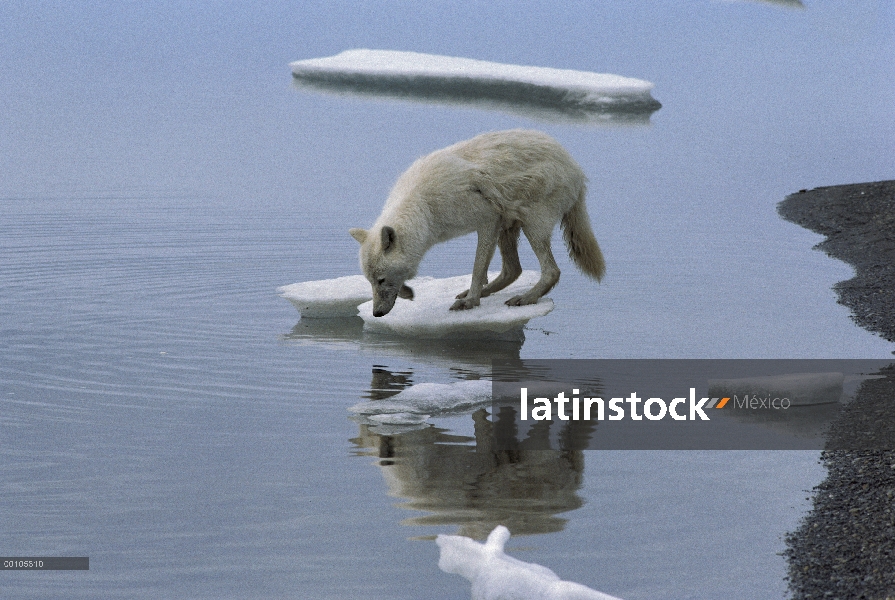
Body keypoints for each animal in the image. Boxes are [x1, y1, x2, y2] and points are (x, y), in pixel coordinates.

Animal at [348, 130, 600, 318]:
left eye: (381, 280)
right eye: (370, 281)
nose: (377, 314)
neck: (425, 208)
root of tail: (577, 170)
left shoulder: (488, 220)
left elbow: (478, 268)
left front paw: (470, 302)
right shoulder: (493, 223)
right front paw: (409, 292)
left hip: (531, 225)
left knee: (551, 271)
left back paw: (525, 298)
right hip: (509, 226)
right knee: (513, 269)